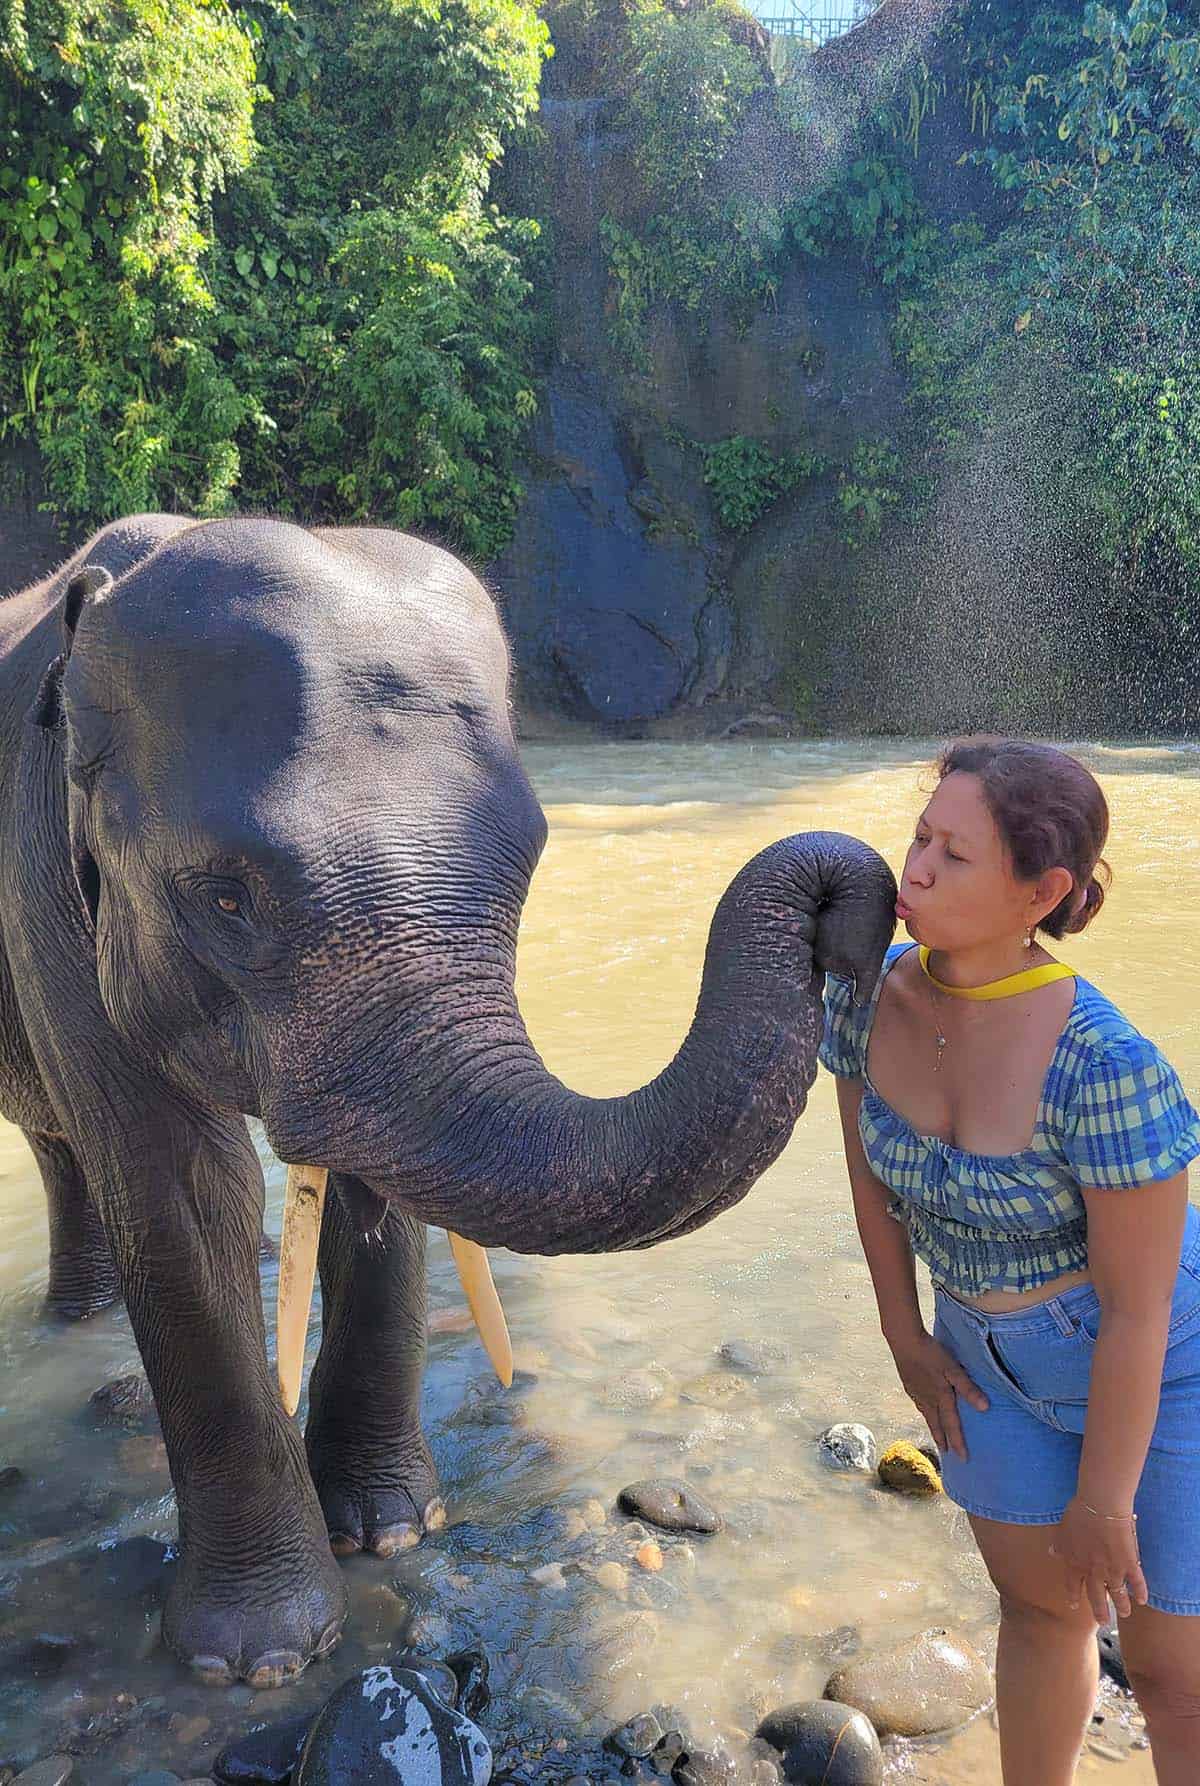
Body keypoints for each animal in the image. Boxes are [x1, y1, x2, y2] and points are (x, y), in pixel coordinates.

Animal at [0, 513, 896, 1687]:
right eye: (227, 898)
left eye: (531, 860)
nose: (846, 892)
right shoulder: (47, 892)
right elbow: (186, 1196)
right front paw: (257, 1661)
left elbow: (377, 1195)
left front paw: (393, 1531)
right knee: (66, 1143)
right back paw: (79, 1324)